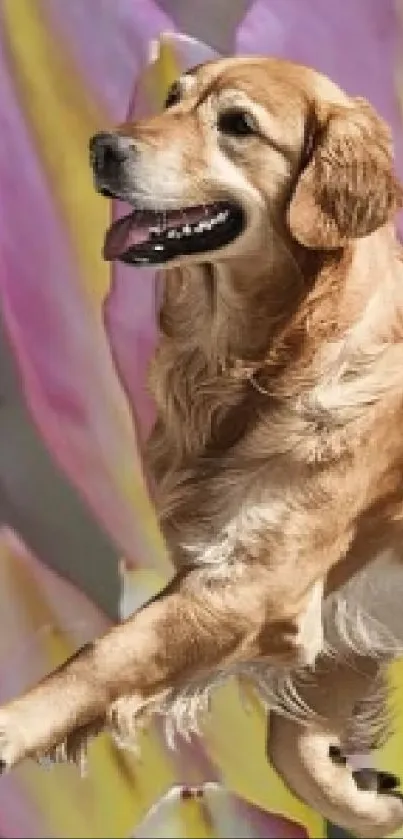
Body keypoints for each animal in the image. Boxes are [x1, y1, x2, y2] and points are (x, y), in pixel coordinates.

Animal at [0, 55, 403, 836]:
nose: (102, 147)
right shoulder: (330, 612)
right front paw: (367, 799)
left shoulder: (252, 585)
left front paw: (11, 728)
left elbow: (104, 657)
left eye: (238, 124)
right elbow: (292, 748)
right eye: (172, 97)